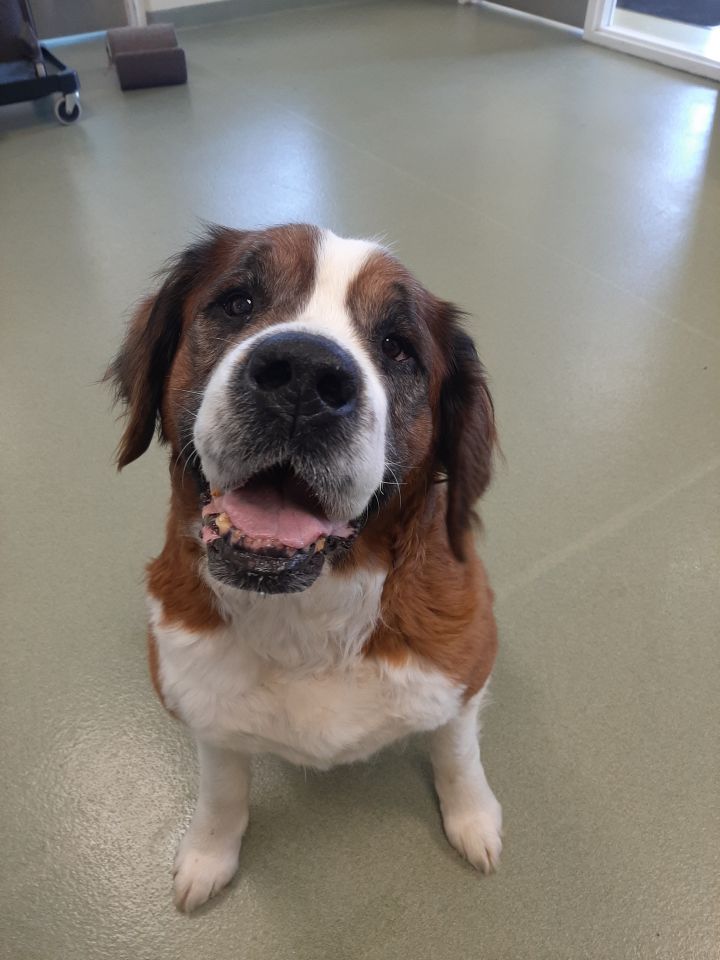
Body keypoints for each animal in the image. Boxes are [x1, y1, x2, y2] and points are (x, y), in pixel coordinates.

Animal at [108, 223, 500, 908]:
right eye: (237, 303)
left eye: (397, 348)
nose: (304, 374)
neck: (308, 617)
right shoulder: (204, 710)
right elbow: (222, 790)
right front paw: (209, 853)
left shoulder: (464, 671)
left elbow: (457, 752)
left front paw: (472, 818)